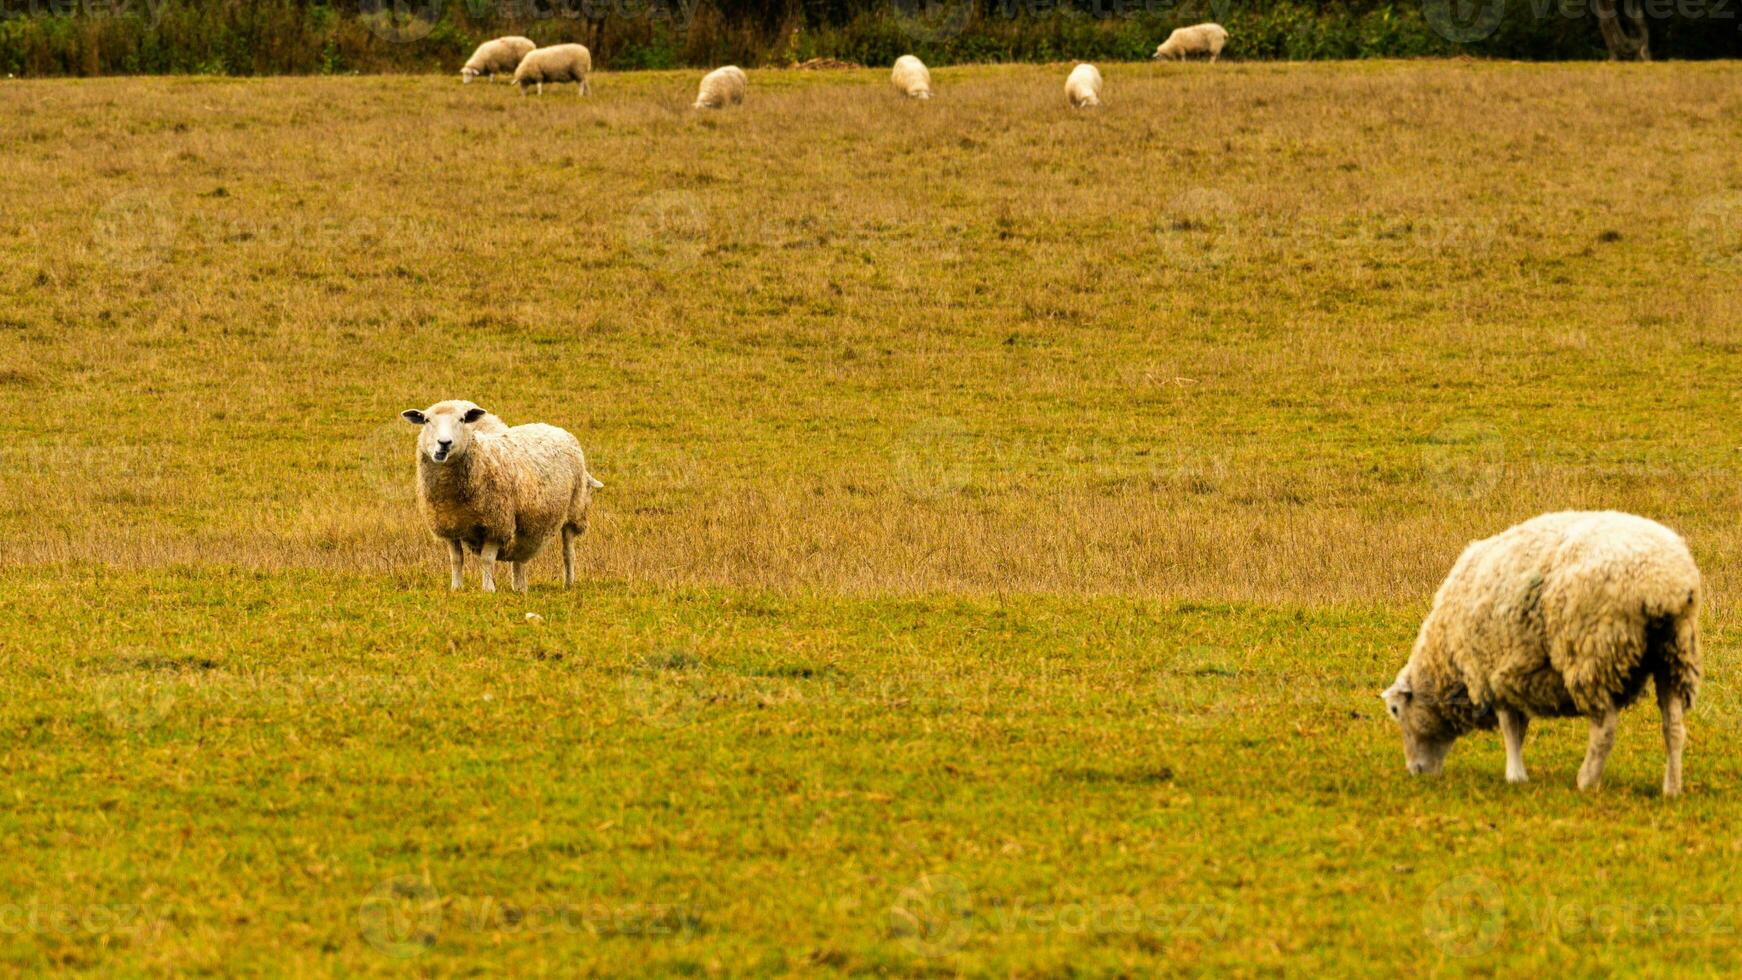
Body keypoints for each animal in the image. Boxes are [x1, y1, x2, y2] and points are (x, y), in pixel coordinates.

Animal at [400, 396, 606, 595]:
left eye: (462, 419)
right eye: (426, 420)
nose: (444, 443)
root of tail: (555, 428)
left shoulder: (496, 524)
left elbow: (486, 560)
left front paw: (488, 589)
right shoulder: (449, 525)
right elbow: (456, 559)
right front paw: (456, 587)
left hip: (574, 512)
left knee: (568, 552)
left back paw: (568, 583)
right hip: (527, 523)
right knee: (520, 556)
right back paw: (520, 587)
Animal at [1386, 515, 1700, 797]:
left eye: (1395, 710)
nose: (1415, 771)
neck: (1445, 658)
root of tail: (1663, 583)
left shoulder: (1491, 672)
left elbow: (1510, 727)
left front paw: (1515, 775)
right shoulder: (1511, 675)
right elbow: (1519, 727)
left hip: (1593, 653)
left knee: (1605, 730)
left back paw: (1586, 781)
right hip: (1674, 652)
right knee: (1674, 726)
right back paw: (1672, 788)